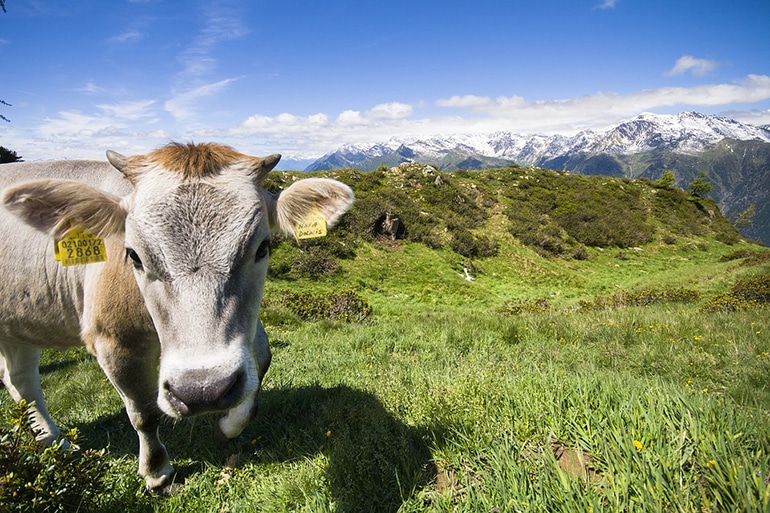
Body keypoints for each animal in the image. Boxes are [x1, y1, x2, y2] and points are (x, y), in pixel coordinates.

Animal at [0, 142, 352, 490]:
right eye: (133, 255)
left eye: (263, 247)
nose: (203, 390)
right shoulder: (115, 339)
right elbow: (144, 412)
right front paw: (157, 472)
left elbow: (262, 359)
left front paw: (226, 428)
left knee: (20, 379)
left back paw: (55, 443)